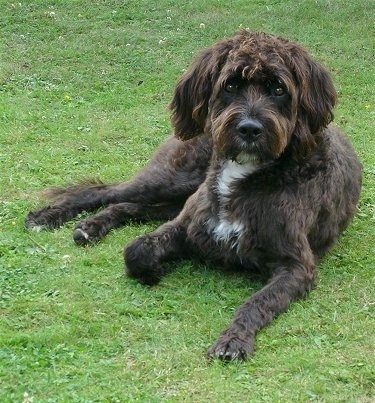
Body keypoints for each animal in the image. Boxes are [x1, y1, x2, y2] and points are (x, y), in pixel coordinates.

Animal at [25, 30, 362, 362]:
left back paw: (90, 226)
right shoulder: (186, 226)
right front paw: (155, 266)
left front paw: (234, 339)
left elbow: (257, 302)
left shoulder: (296, 266)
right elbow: (137, 249)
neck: (246, 173)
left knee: (130, 205)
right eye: (231, 85)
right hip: (173, 179)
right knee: (107, 191)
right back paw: (49, 217)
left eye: (279, 89)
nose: (249, 129)